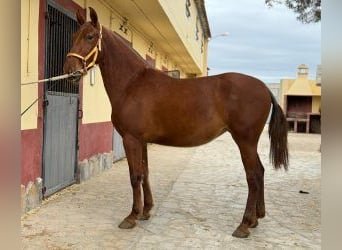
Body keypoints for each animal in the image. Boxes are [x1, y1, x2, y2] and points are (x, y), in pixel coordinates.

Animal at [64, 7, 288, 238]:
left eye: (90, 36)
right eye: (74, 36)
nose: (70, 70)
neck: (133, 83)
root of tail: (264, 87)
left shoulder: (131, 139)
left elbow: (135, 176)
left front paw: (132, 216)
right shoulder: (142, 141)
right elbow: (145, 173)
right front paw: (146, 210)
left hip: (245, 141)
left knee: (253, 176)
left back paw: (244, 224)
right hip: (249, 143)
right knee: (260, 172)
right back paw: (256, 219)